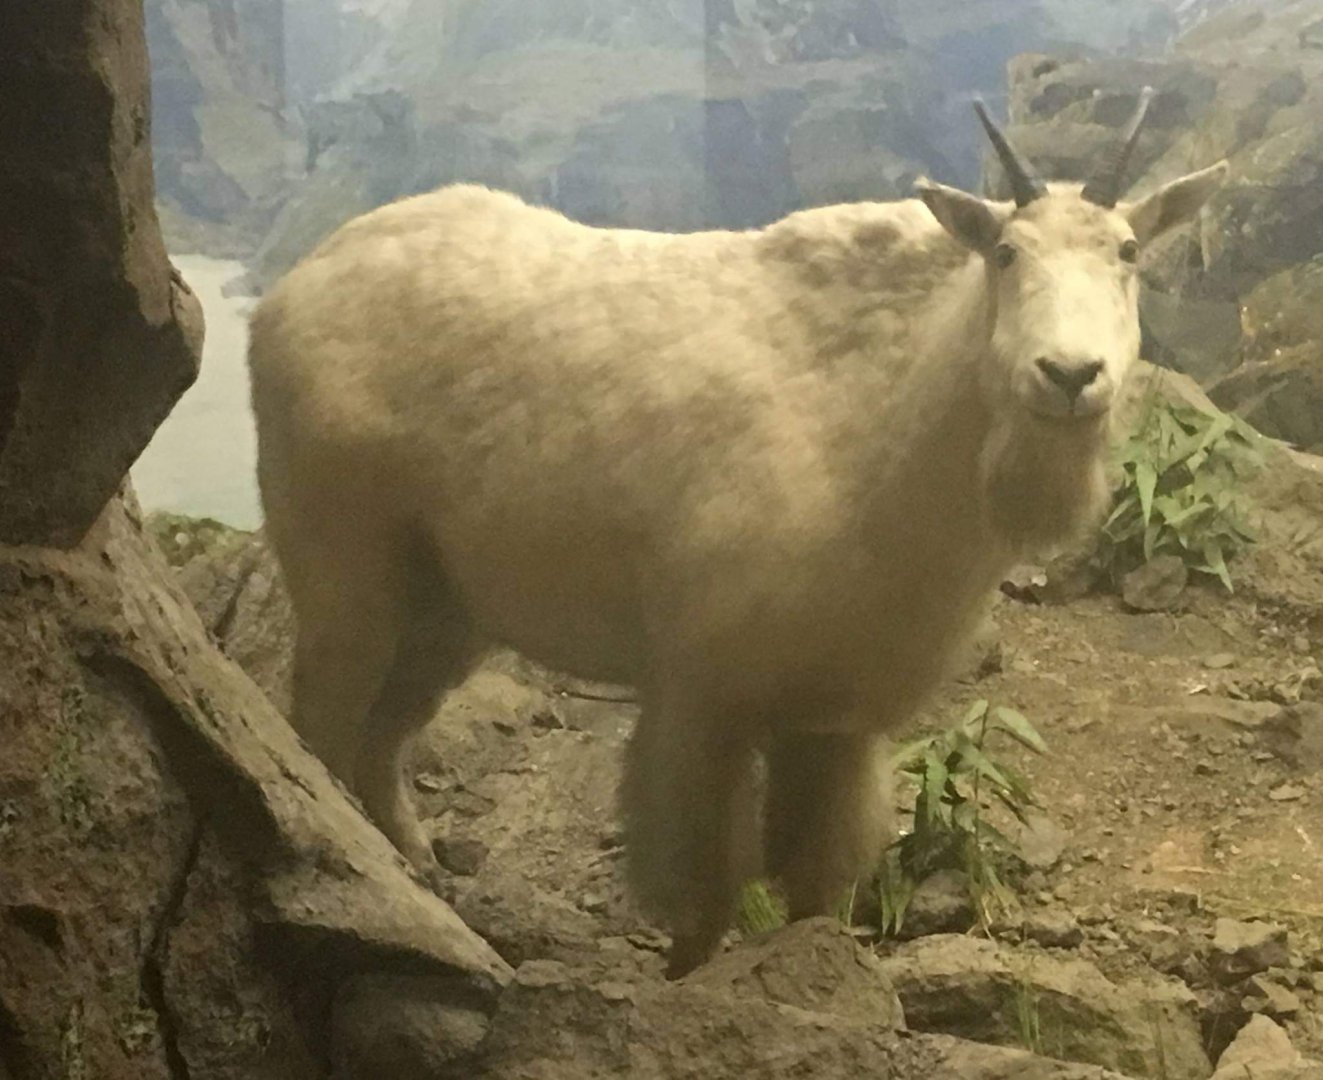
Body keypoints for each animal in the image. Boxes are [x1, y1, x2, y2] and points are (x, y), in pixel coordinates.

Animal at [247, 90, 1227, 977]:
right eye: (1005, 252)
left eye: (1128, 252)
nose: (1068, 375)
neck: (883, 419)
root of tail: (292, 287)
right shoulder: (702, 697)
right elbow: (703, 894)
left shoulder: (839, 721)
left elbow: (816, 885)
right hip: (346, 573)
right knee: (322, 731)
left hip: (446, 609)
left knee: (381, 740)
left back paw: (420, 870)